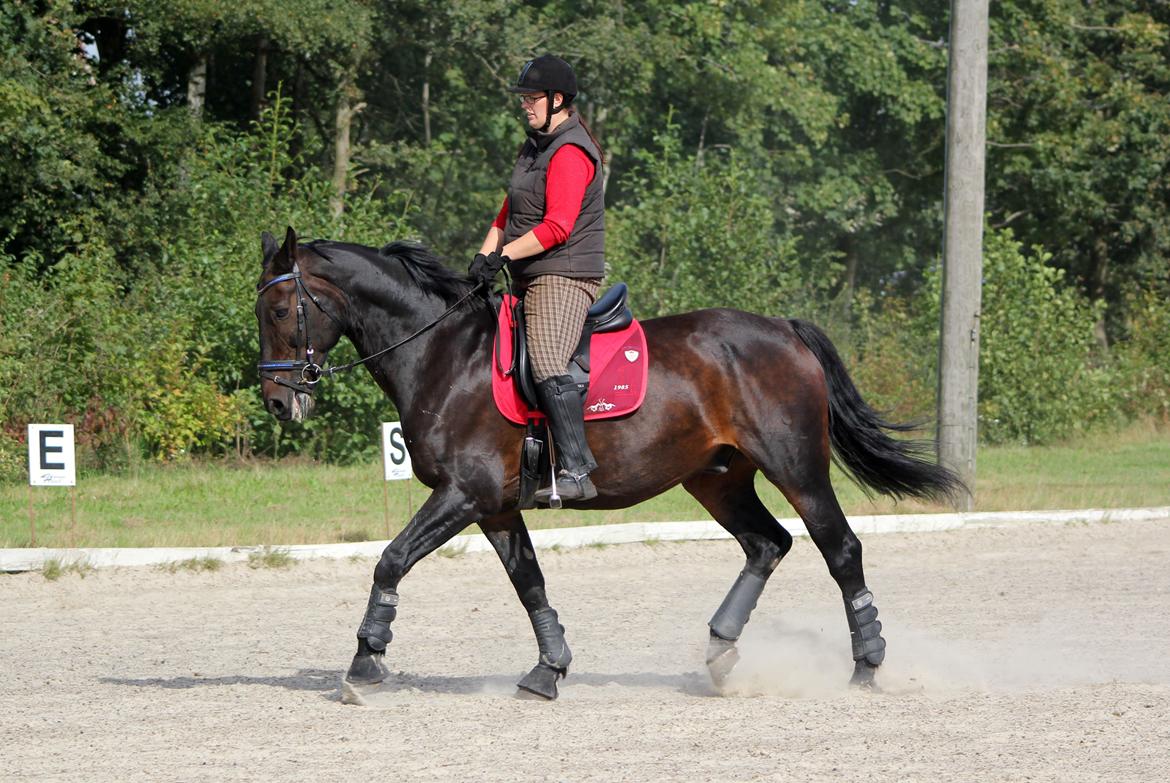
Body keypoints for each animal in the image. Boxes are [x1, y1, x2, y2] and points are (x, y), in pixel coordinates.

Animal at [256, 229, 959, 697]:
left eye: (279, 309)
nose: (277, 400)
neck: (443, 354)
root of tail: (784, 330)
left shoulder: (463, 493)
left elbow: (392, 558)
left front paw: (364, 662)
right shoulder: (494, 506)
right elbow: (529, 582)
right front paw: (549, 669)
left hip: (797, 469)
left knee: (839, 549)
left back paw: (867, 663)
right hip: (718, 478)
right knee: (767, 544)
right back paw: (720, 650)